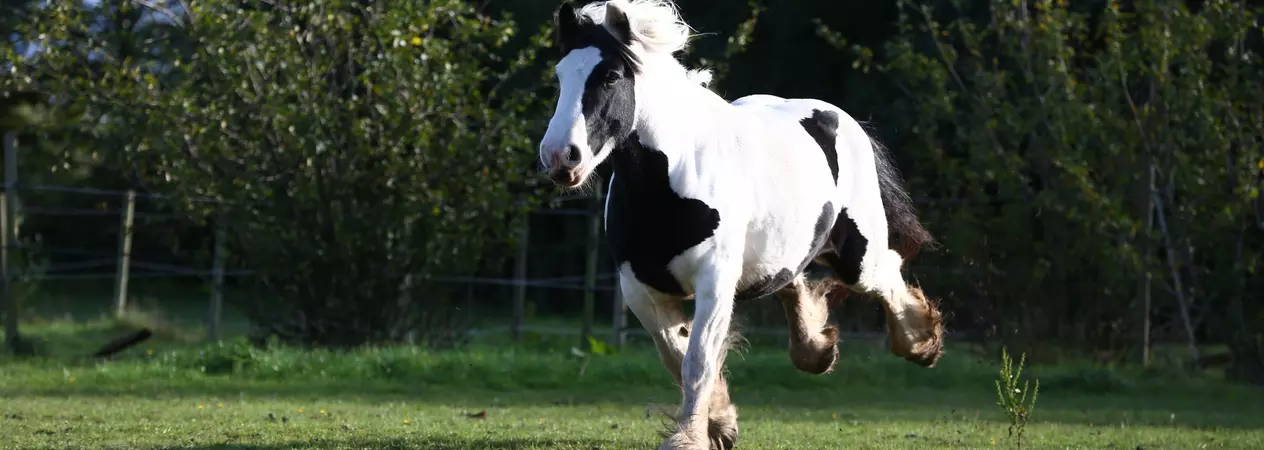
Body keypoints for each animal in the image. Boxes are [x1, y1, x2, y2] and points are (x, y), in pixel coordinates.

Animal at [536, 1, 946, 448]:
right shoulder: (640, 287)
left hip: (858, 256)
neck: (672, 181)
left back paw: (921, 343)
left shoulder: (714, 281)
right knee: (793, 281)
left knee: (887, 275)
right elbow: (675, 353)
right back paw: (818, 351)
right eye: (560, 75)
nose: (560, 156)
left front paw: (689, 436)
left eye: (610, 76)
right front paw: (720, 424)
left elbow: (697, 360)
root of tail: (839, 119)